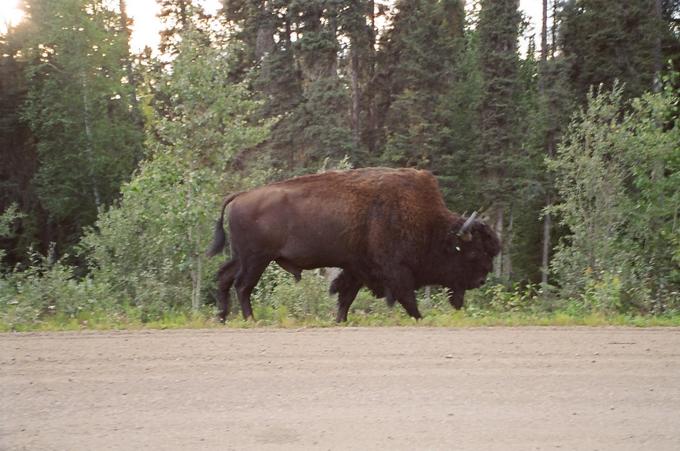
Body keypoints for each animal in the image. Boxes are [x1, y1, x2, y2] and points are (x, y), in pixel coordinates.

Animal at [206, 169, 500, 322]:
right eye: (474, 253)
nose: (482, 280)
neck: (430, 224)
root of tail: (241, 195)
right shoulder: (396, 270)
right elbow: (407, 298)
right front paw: (420, 318)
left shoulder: (357, 267)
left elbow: (345, 296)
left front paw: (339, 320)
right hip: (256, 259)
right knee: (242, 286)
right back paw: (249, 319)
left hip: (242, 257)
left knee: (224, 278)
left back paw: (222, 317)